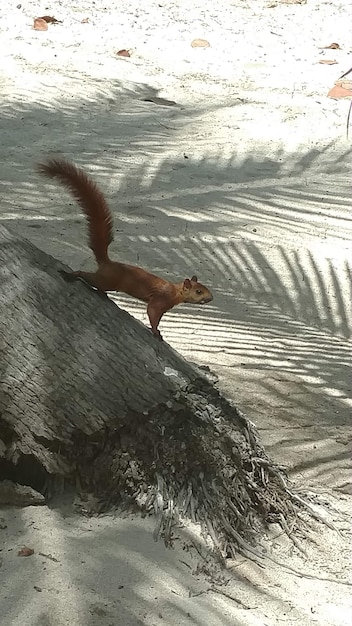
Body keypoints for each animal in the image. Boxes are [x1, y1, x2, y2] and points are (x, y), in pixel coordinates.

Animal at [39, 158, 213, 338]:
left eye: (206, 288)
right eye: (198, 292)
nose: (211, 298)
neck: (174, 291)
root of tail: (107, 263)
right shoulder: (160, 300)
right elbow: (152, 313)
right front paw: (156, 332)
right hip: (107, 279)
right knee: (88, 276)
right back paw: (71, 275)